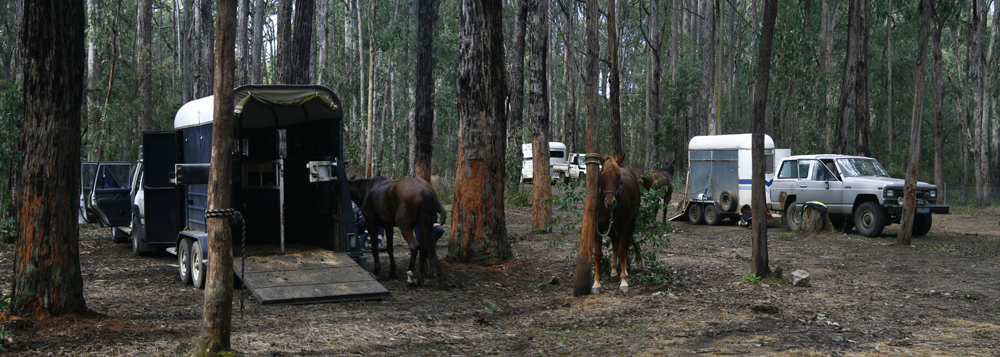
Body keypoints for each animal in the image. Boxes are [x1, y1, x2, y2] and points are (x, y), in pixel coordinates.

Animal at [588, 153, 644, 292]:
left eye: (618, 176)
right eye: (601, 176)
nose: (610, 202)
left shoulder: (624, 226)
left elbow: (621, 251)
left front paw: (623, 280)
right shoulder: (598, 228)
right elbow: (598, 254)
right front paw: (596, 283)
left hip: (631, 224)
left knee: (623, 244)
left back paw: (624, 270)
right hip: (611, 228)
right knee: (615, 242)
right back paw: (613, 269)